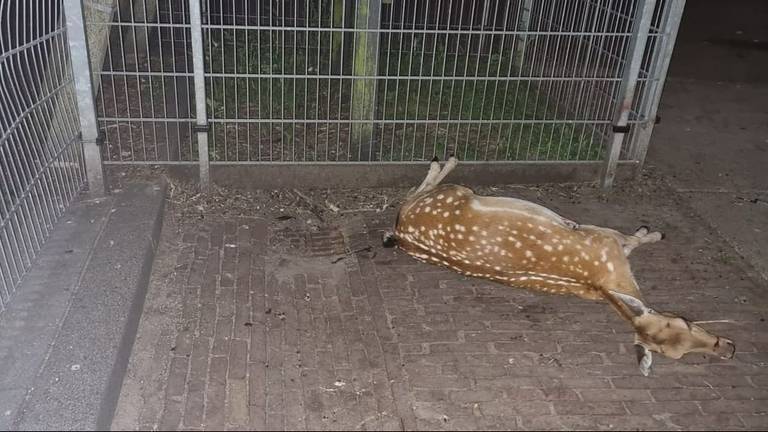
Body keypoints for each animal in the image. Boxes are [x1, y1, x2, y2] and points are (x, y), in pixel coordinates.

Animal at [388, 155, 736, 374]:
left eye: (681, 348)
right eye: (683, 322)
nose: (729, 349)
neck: (604, 283)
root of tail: (402, 234)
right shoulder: (603, 237)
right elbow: (631, 240)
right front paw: (651, 232)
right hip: (455, 193)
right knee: (419, 191)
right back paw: (446, 160)